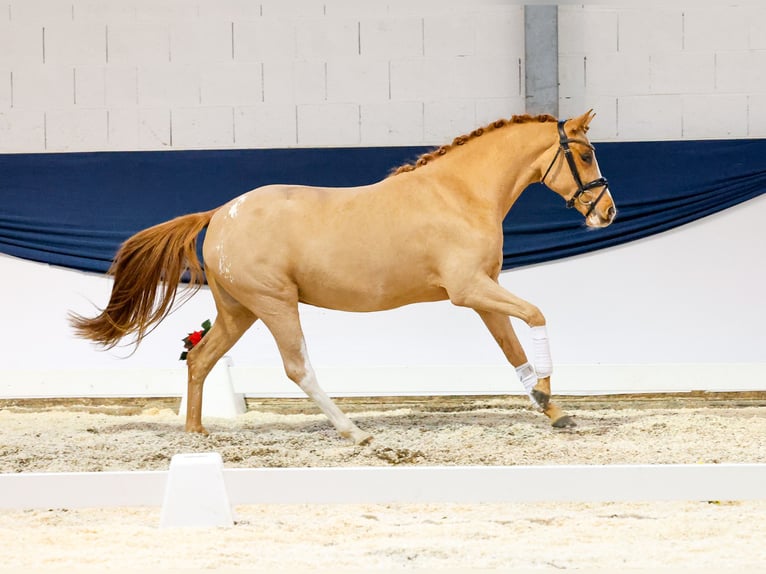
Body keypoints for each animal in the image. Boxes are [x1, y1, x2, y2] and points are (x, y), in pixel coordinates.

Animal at [70, 111, 616, 446]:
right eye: (586, 154)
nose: (607, 212)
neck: (458, 193)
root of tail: (221, 213)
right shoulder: (469, 291)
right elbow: (537, 316)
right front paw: (548, 396)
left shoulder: (483, 294)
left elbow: (514, 351)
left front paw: (551, 408)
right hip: (275, 304)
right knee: (297, 368)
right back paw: (354, 432)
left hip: (239, 311)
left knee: (201, 360)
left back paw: (196, 434)